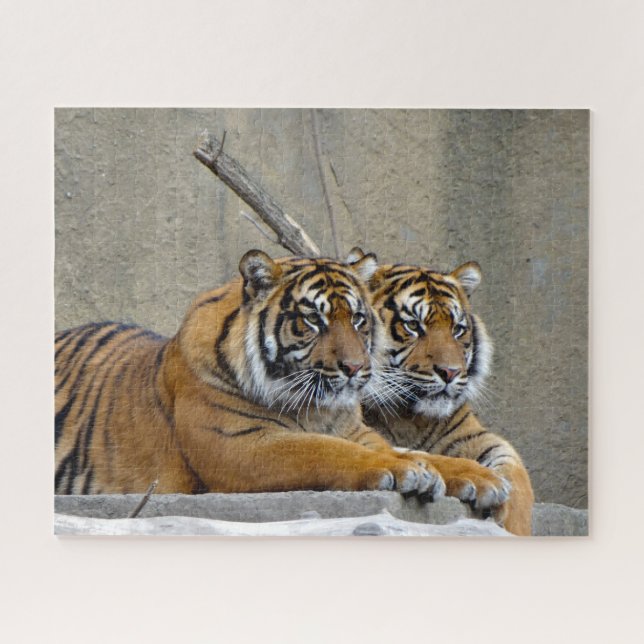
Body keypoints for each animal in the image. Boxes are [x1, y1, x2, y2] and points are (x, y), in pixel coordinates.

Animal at [56, 249, 505, 499]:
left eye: (359, 319)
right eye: (314, 320)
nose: (356, 368)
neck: (316, 409)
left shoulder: (359, 432)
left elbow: (418, 452)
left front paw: (480, 477)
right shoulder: (237, 445)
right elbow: (325, 451)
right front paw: (407, 473)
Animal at [355, 250, 535, 535]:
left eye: (457, 329)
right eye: (413, 326)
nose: (450, 372)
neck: (410, 417)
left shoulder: (474, 435)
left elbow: (515, 473)